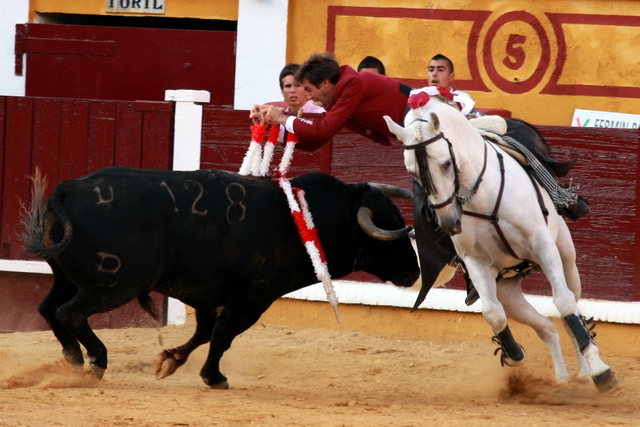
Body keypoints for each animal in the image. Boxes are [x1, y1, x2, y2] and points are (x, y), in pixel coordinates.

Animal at [21, 169, 420, 390]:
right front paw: (214, 377)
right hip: (114, 284)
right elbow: (222, 337)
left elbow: (203, 333)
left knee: (48, 308)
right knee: (71, 313)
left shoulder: (207, 294)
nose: (415, 272)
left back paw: (73, 358)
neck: (309, 219)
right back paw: (96, 362)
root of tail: (69, 189)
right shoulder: (252, 299)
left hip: (68, 278)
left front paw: (168, 361)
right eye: (389, 227)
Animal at [382, 91, 616, 394]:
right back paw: (563, 378)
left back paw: (587, 372)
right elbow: (493, 313)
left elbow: (563, 304)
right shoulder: (475, 261)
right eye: (412, 171)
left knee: (570, 310)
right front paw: (513, 354)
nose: (448, 222)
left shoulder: (543, 246)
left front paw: (601, 371)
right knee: (546, 327)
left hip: (567, 260)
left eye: (446, 163)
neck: (481, 194)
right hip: (508, 288)